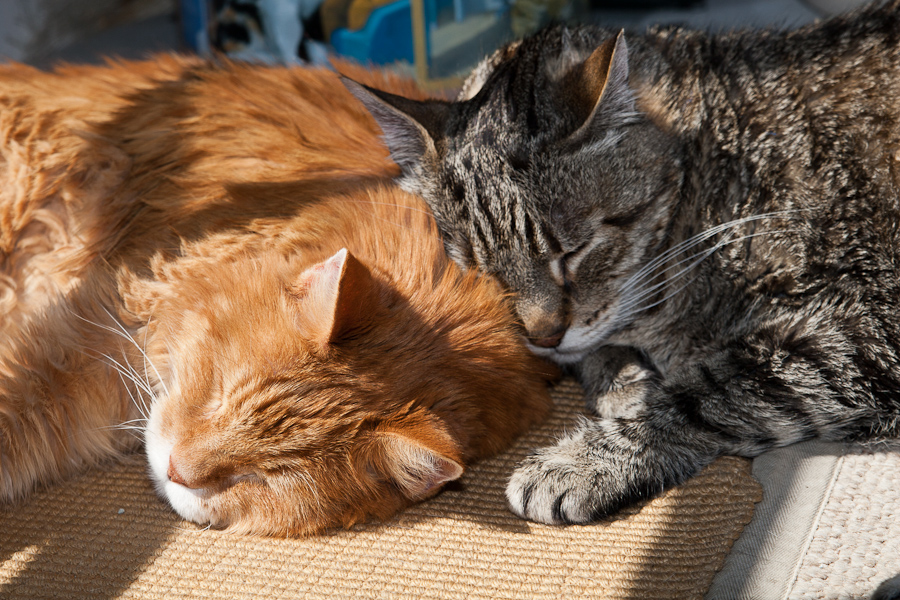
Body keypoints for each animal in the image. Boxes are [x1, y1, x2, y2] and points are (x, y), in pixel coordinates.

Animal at [342, 0, 900, 528]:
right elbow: (599, 352)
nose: (542, 335)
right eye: (480, 270)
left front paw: (585, 460)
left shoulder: (864, 326)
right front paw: (623, 382)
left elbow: (709, 392)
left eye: (574, 251)